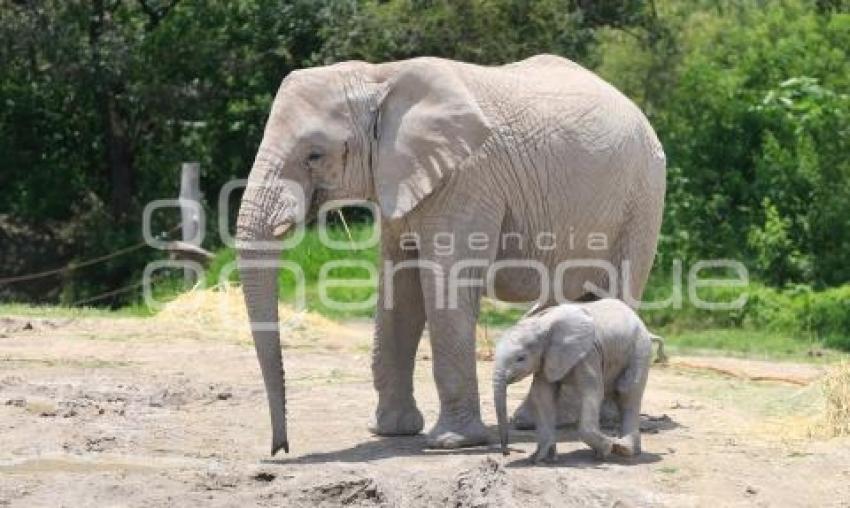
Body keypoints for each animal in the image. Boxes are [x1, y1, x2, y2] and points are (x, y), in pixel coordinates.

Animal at [492, 299, 665, 463]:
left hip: (640, 349)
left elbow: (593, 391)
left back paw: (623, 449)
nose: (506, 453)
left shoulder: (588, 353)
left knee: (627, 392)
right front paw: (542, 458)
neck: (542, 324)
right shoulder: (546, 359)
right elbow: (543, 397)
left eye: (520, 358)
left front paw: (607, 448)